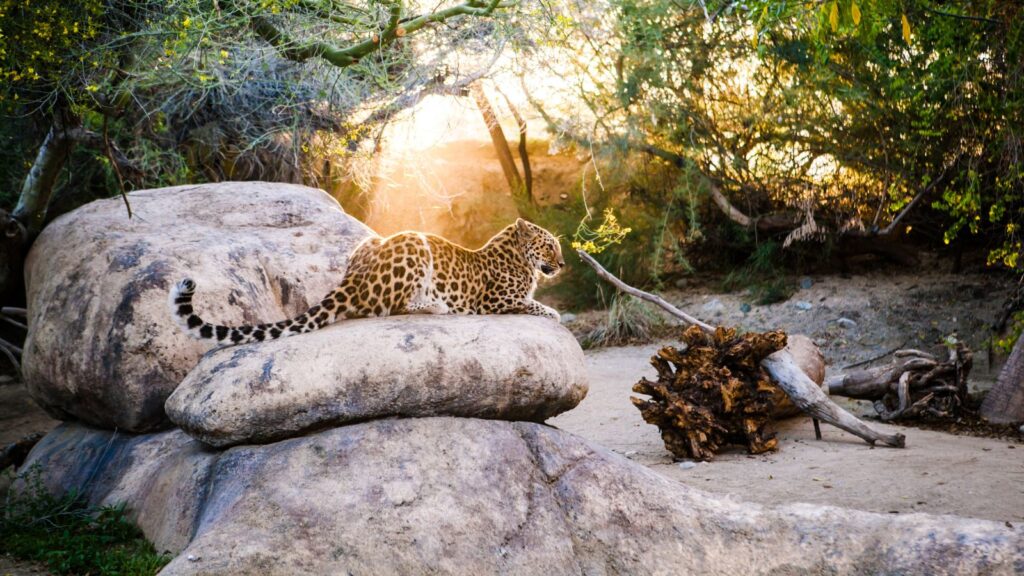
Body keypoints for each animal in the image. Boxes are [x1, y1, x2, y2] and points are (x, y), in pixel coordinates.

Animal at [170, 218, 565, 345]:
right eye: (549, 245)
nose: (562, 263)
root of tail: (355, 277)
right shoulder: (493, 300)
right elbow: (534, 304)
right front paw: (554, 314)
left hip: (369, 243)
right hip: (414, 247)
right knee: (388, 308)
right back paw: (436, 306)